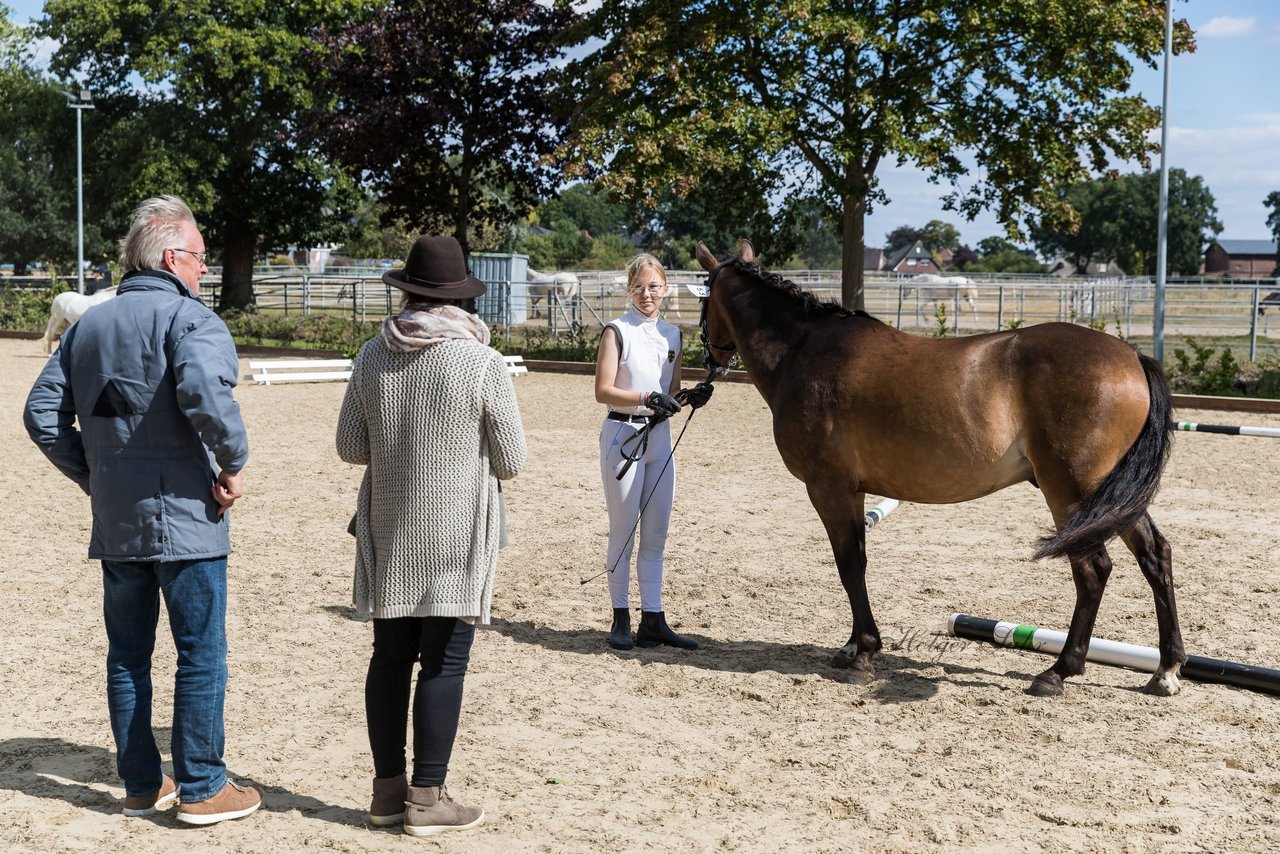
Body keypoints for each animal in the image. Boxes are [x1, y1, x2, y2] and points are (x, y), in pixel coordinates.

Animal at [696, 239, 1182, 696]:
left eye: (703, 295)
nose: (710, 359)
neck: (802, 351)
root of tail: (1133, 357)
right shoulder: (853, 489)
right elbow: (858, 561)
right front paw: (854, 645)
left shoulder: (828, 486)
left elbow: (849, 564)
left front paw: (864, 653)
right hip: (1114, 498)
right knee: (1154, 555)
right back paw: (1166, 670)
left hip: (1073, 494)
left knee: (1093, 570)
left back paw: (1059, 670)